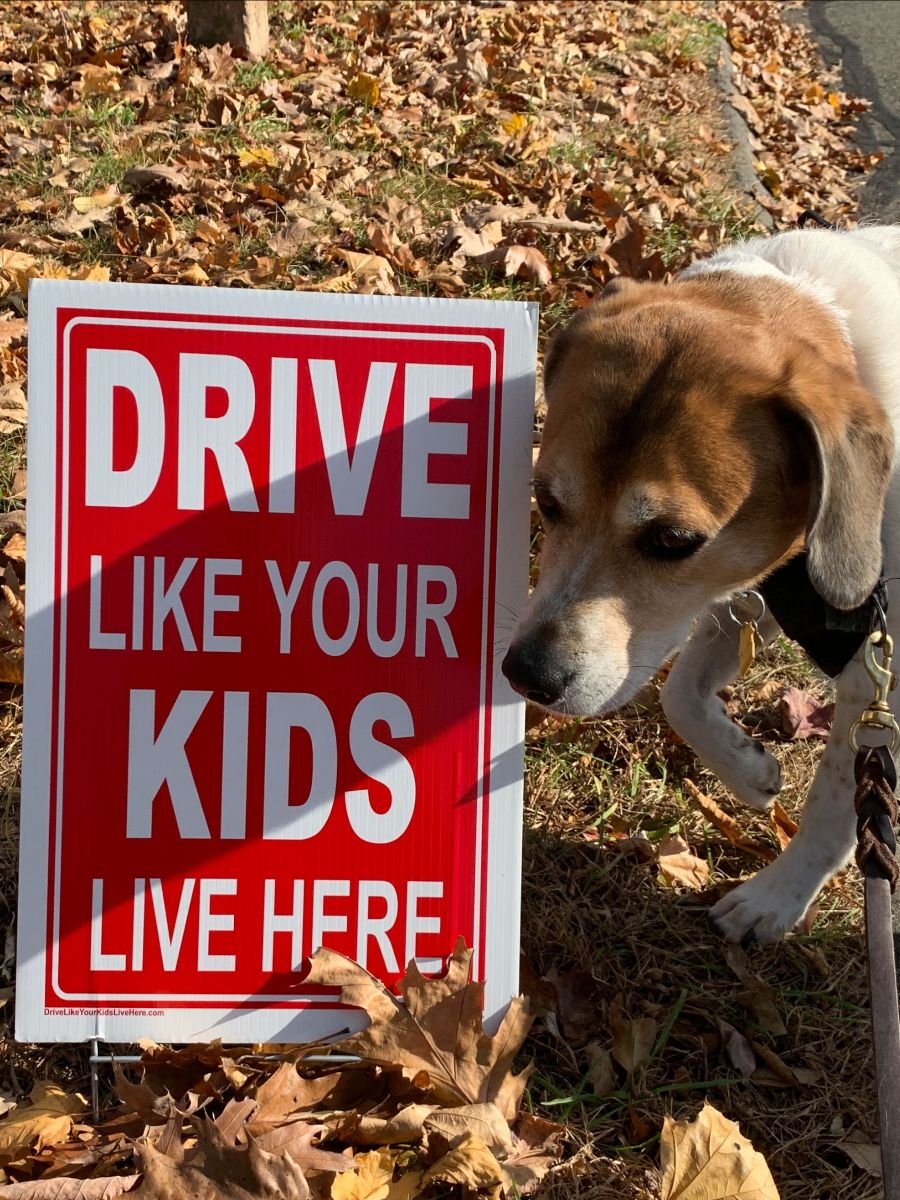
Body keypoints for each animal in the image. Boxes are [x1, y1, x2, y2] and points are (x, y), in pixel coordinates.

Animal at [504, 223, 900, 936]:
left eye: (672, 540)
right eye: (546, 500)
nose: (526, 675)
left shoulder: (877, 672)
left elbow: (835, 799)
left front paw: (777, 897)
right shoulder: (741, 592)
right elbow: (680, 695)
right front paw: (749, 770)